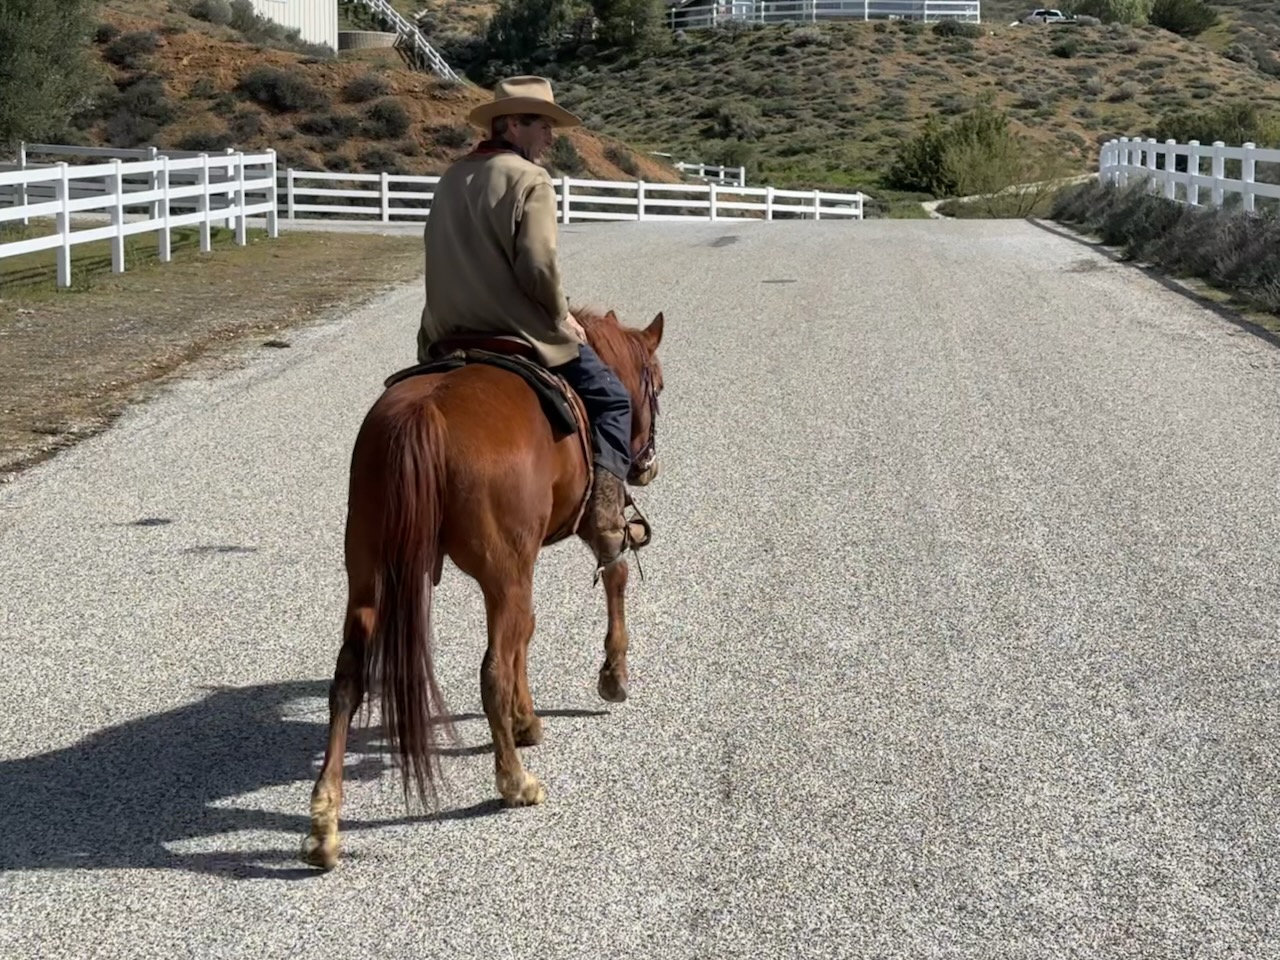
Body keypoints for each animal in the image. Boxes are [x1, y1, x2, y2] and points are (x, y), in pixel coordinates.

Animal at [301, 306, 666, 870]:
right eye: (659, 386)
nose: (647, 464)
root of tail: (425, 413)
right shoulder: (589, 526)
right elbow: (614, 577)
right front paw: (611, 676)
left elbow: (527, 636)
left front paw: (526, 719)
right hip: (503, 573)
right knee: (492, 669)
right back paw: (515, 781)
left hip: (366, 574)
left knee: (348, 679)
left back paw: (324, 824)